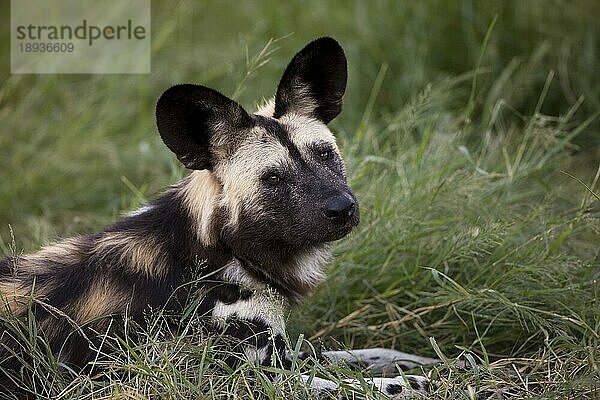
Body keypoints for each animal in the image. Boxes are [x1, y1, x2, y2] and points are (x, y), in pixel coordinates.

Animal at [0, 38, 436, 396]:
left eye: (325, 153)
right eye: (273, 177)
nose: (341, 208)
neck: (223, 252)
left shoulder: (282, 356)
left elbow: (358, 355)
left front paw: (422, 359)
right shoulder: (250, 378)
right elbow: (367, 385)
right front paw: (419, 380)